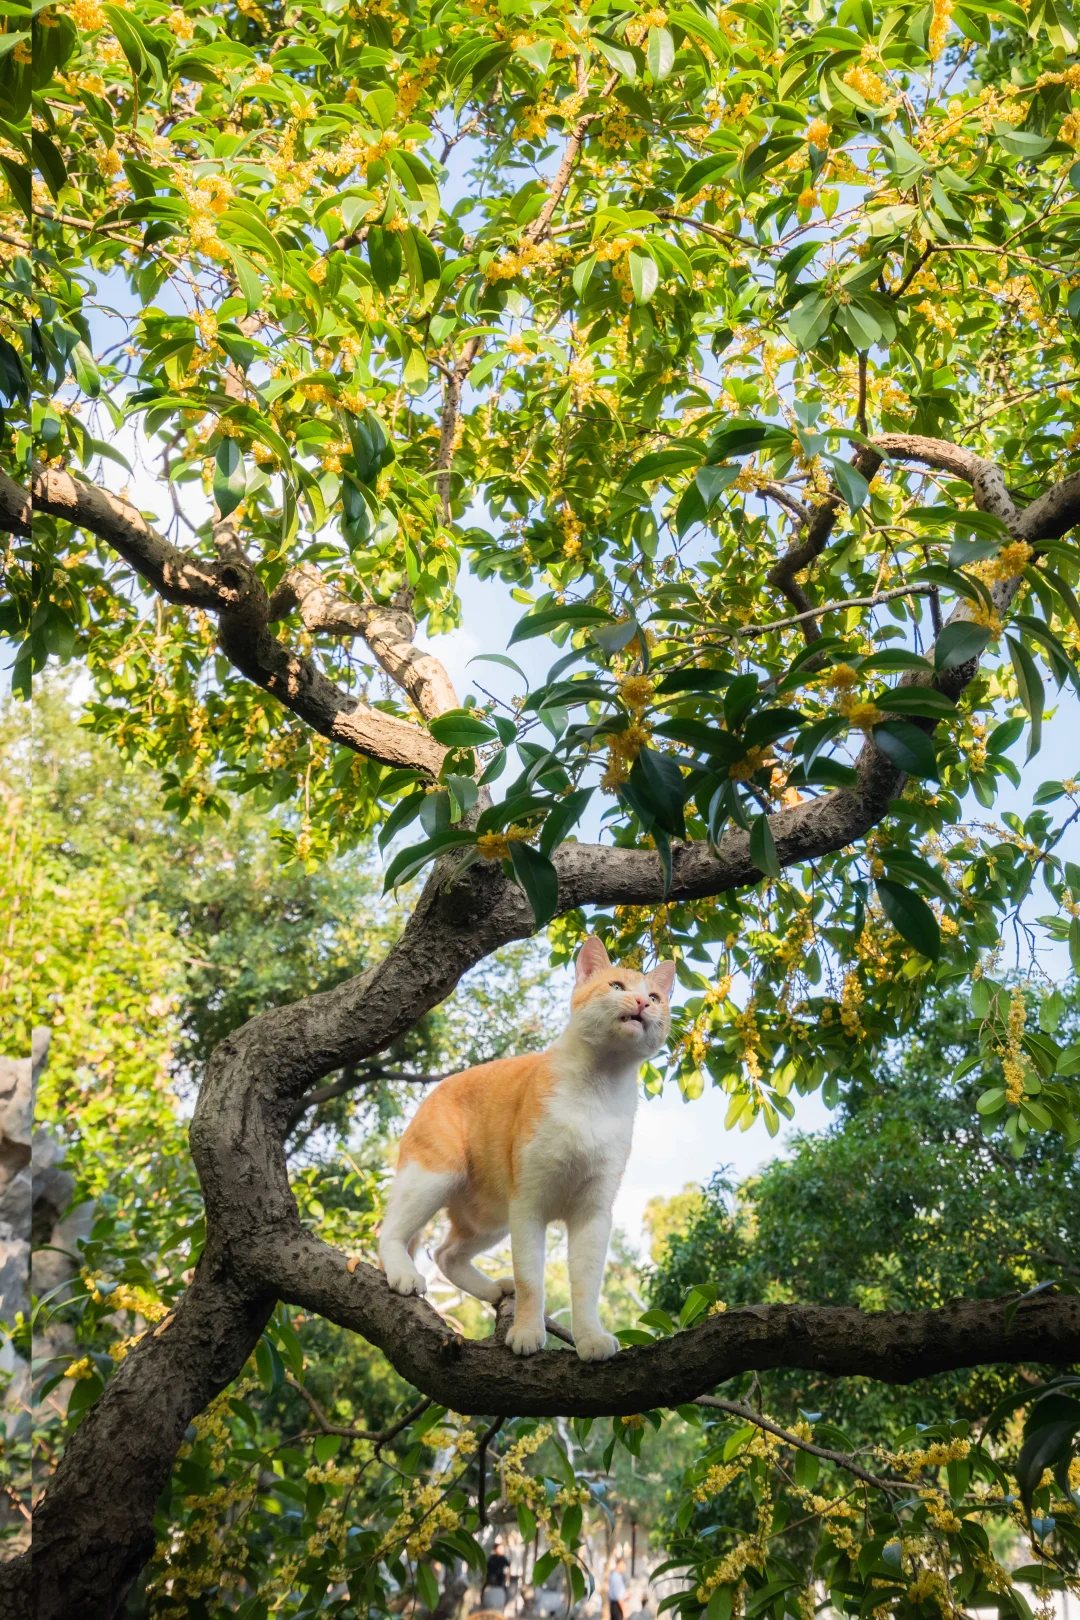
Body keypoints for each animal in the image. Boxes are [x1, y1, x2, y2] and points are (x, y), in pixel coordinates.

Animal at [375, 933, 670, 1360]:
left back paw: (490, 1288)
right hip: (436, 1176)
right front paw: (528, 1331)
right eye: (617, 986)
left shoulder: (593, 1212)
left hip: (491, 1217)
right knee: (392, 1232)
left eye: (655, 996)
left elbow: (586, 1285)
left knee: (447, 1253)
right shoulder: (529, 1204)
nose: (643, 1003)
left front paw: (590, 1336)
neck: (598, 1087)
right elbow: (532, 1279)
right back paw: (403, 1272)